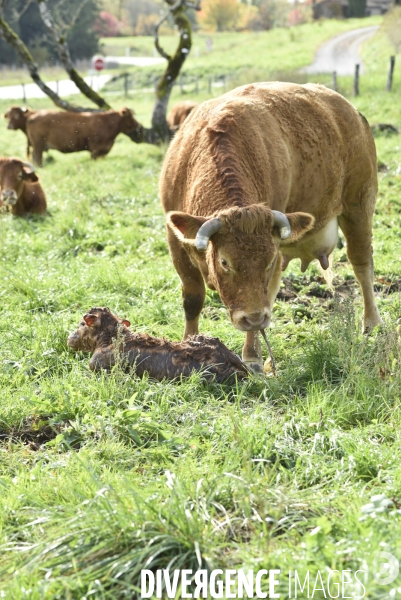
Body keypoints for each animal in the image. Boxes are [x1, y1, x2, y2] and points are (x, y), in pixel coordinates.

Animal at [159, 79, 382, 370]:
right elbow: (192, 299)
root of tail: (349, 110)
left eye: (267, 260)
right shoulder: (175, 244)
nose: (253, 317)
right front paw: (189, 343)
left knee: (362, 266)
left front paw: (252, 356)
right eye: (225, 262)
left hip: (359, 205)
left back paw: (372, 323)